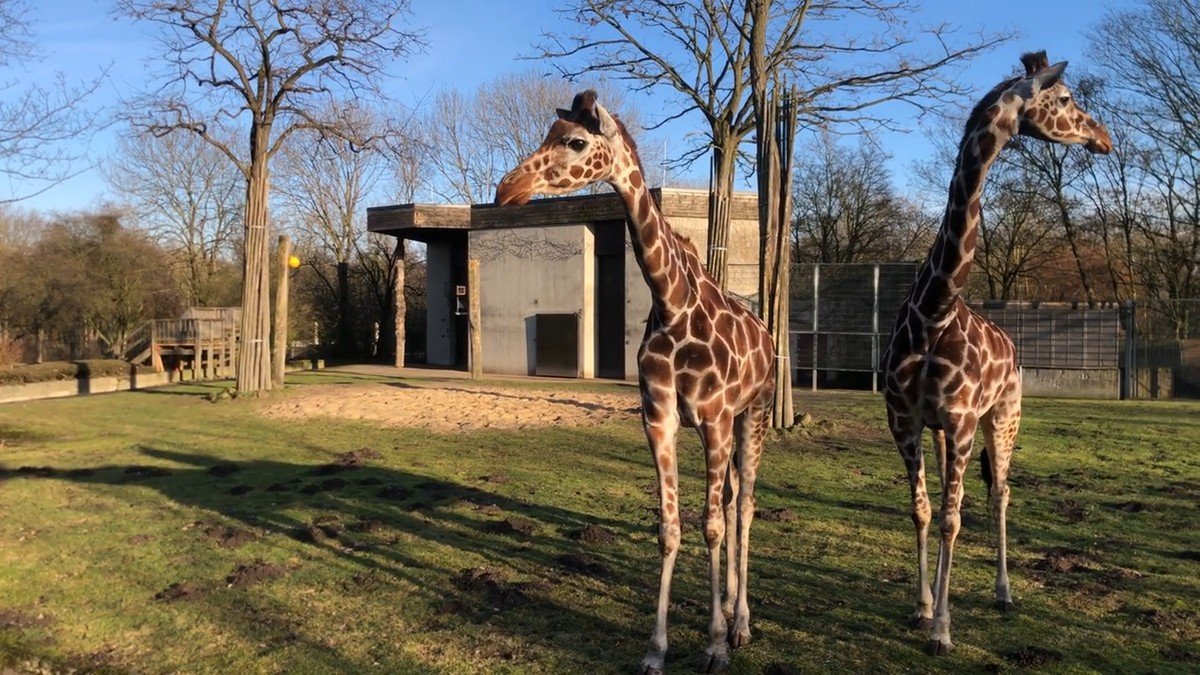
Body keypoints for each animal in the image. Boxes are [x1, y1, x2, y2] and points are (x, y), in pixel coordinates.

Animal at [496, 90, 777, 672]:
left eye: (575, 142)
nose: (506, 189)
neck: (673, 303)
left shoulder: (715, 420)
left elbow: (711, 526)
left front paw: (715, 645)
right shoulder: (660, 420)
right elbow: (670, 529)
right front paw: (656, 649)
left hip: (752, 414)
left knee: (743, 508)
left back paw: (741, 624)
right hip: (729, 424)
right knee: (733, 500)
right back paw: (730, 615)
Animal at [878, 51, 1108, 653]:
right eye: (1067, 98)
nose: (1103, 138)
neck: (932, 313)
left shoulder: (961, 421)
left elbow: (953, 520)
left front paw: (942, 631)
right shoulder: (906, 421)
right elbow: (923, 511)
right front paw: (923, 607)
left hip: (1004, 417)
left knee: (1001, 492)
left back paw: (1004, 593)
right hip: (948, 433)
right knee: (953, 499)